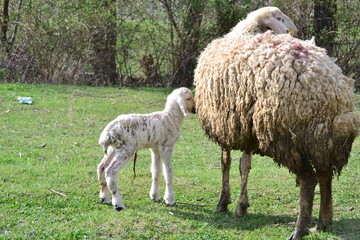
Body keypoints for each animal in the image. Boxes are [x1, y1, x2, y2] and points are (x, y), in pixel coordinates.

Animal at [194, 9, 360, 240]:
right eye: (280, 19)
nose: (297, 33)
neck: (247, 32)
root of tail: (330, 88)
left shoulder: (223, 123)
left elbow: (225, 163)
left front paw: (223, 203)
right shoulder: (245, 126)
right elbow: (243, 165)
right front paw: (241, 206)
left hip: (287, 137)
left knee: (309, 180)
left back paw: (300, 229)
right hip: (320, 139)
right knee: (325, 175)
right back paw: (323, 223)